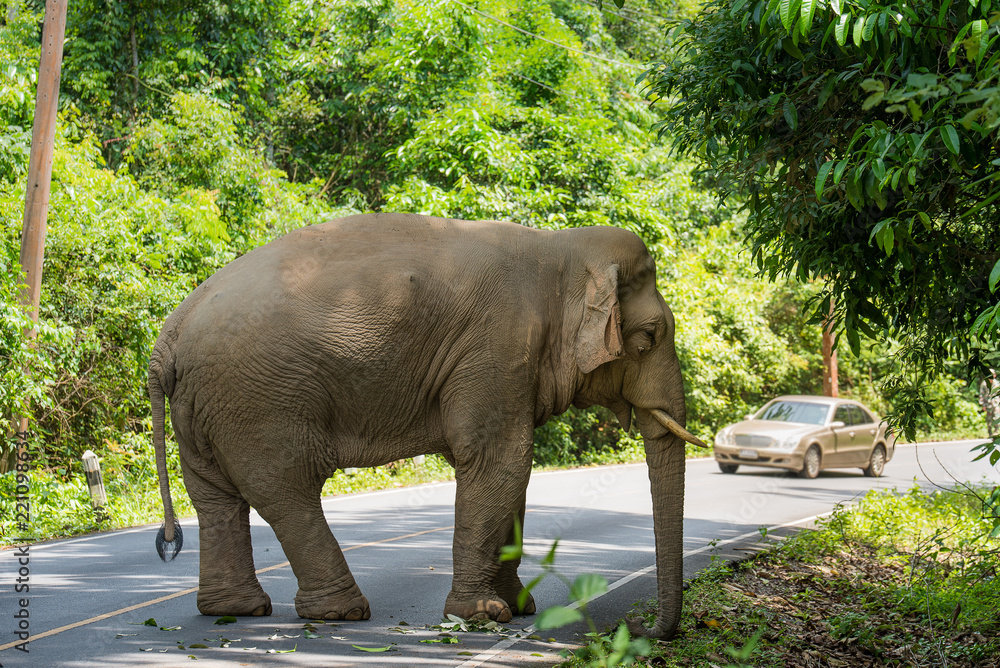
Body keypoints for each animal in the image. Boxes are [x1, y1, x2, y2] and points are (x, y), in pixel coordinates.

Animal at [149, 212, 705, 639]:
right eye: (649, 337)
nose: (639, 627)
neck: (560, 246)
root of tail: (168, 337)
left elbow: (511, 476)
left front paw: (518, 608)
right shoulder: (497, 345)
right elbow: (500, 462)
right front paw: (482, 615)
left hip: (204, 408)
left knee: (217, 499)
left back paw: (235, 610)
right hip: (259, 403)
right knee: (286, 490)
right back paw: (342, 613)